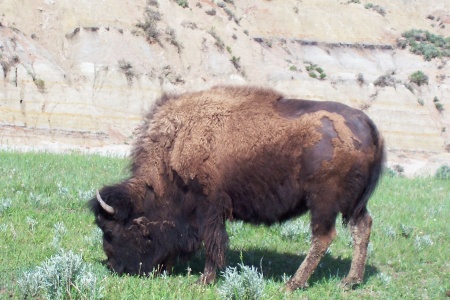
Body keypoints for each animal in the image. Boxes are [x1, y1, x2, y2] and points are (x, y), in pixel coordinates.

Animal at [89, 85, 384, 292]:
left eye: (110, 231)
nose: (115, 267)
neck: (176, 144)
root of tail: (369, 126)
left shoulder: (209, 208)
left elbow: (212, 241)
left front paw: (204, 280)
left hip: (323, 202)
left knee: (323, 236)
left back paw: (292, 284)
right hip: (352, 205)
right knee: (362, 227)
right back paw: (350, 281)